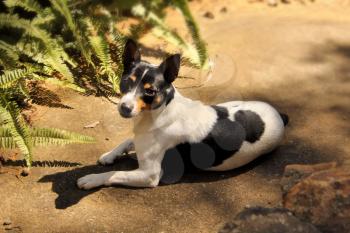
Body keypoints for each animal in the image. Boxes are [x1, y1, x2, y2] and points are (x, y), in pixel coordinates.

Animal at [76, 39, 288, 190]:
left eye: (150, 91)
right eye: (127, 81)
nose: (124, 108)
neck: (158, 113)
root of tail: (278, 114)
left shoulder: (149, 175)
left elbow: (115, 174)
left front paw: (92, 178)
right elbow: (127, 141)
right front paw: (109, 155)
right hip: (228, 104)